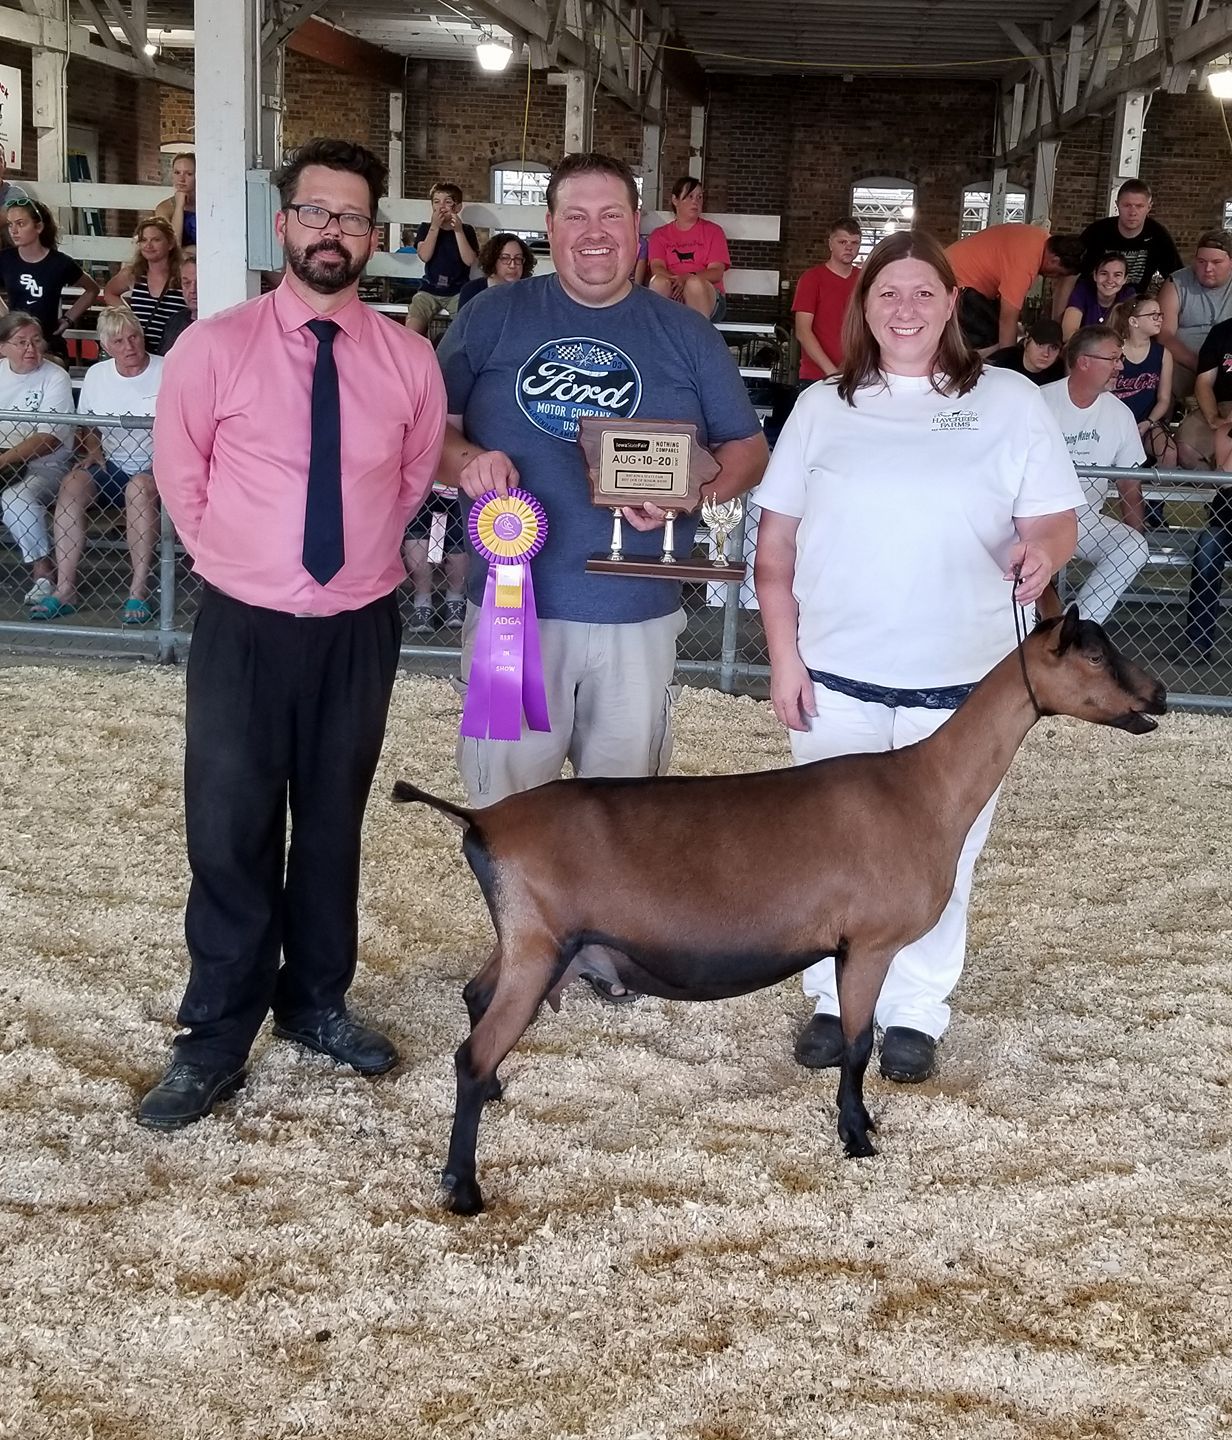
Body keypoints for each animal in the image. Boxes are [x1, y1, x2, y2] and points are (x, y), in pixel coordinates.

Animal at [394, 607, 1162, 1215]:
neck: (924, 788)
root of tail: (480, 820)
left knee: (475, 996)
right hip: (539, 947)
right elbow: (857, 1043)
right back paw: (464, 1187)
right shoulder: (870, 943)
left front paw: (862, 1124)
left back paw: (496, 1094)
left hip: (524, 939)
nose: (1156, 692)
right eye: (1094, 653)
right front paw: (857, 1136)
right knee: (471, 1052)